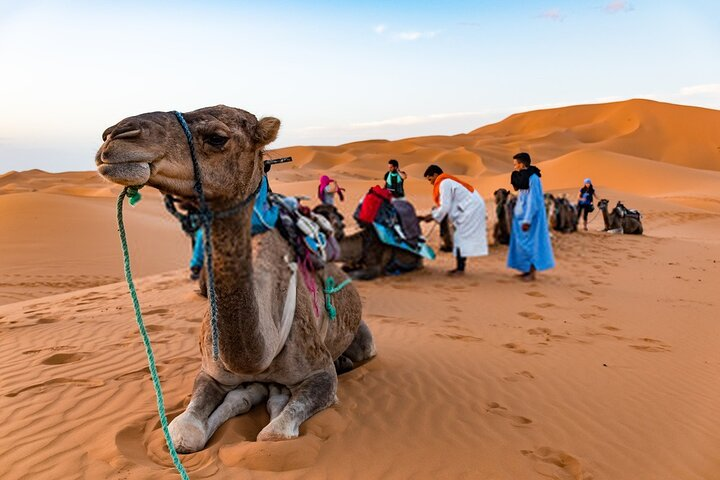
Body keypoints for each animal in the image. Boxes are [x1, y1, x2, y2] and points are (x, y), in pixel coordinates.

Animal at [95, 105, 376, 453]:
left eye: (217, 138)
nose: (114, 136)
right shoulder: (210, 372)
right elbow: (183, 433)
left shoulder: (320, 372)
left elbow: (273, 433)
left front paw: (276, 400)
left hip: (364, 339)